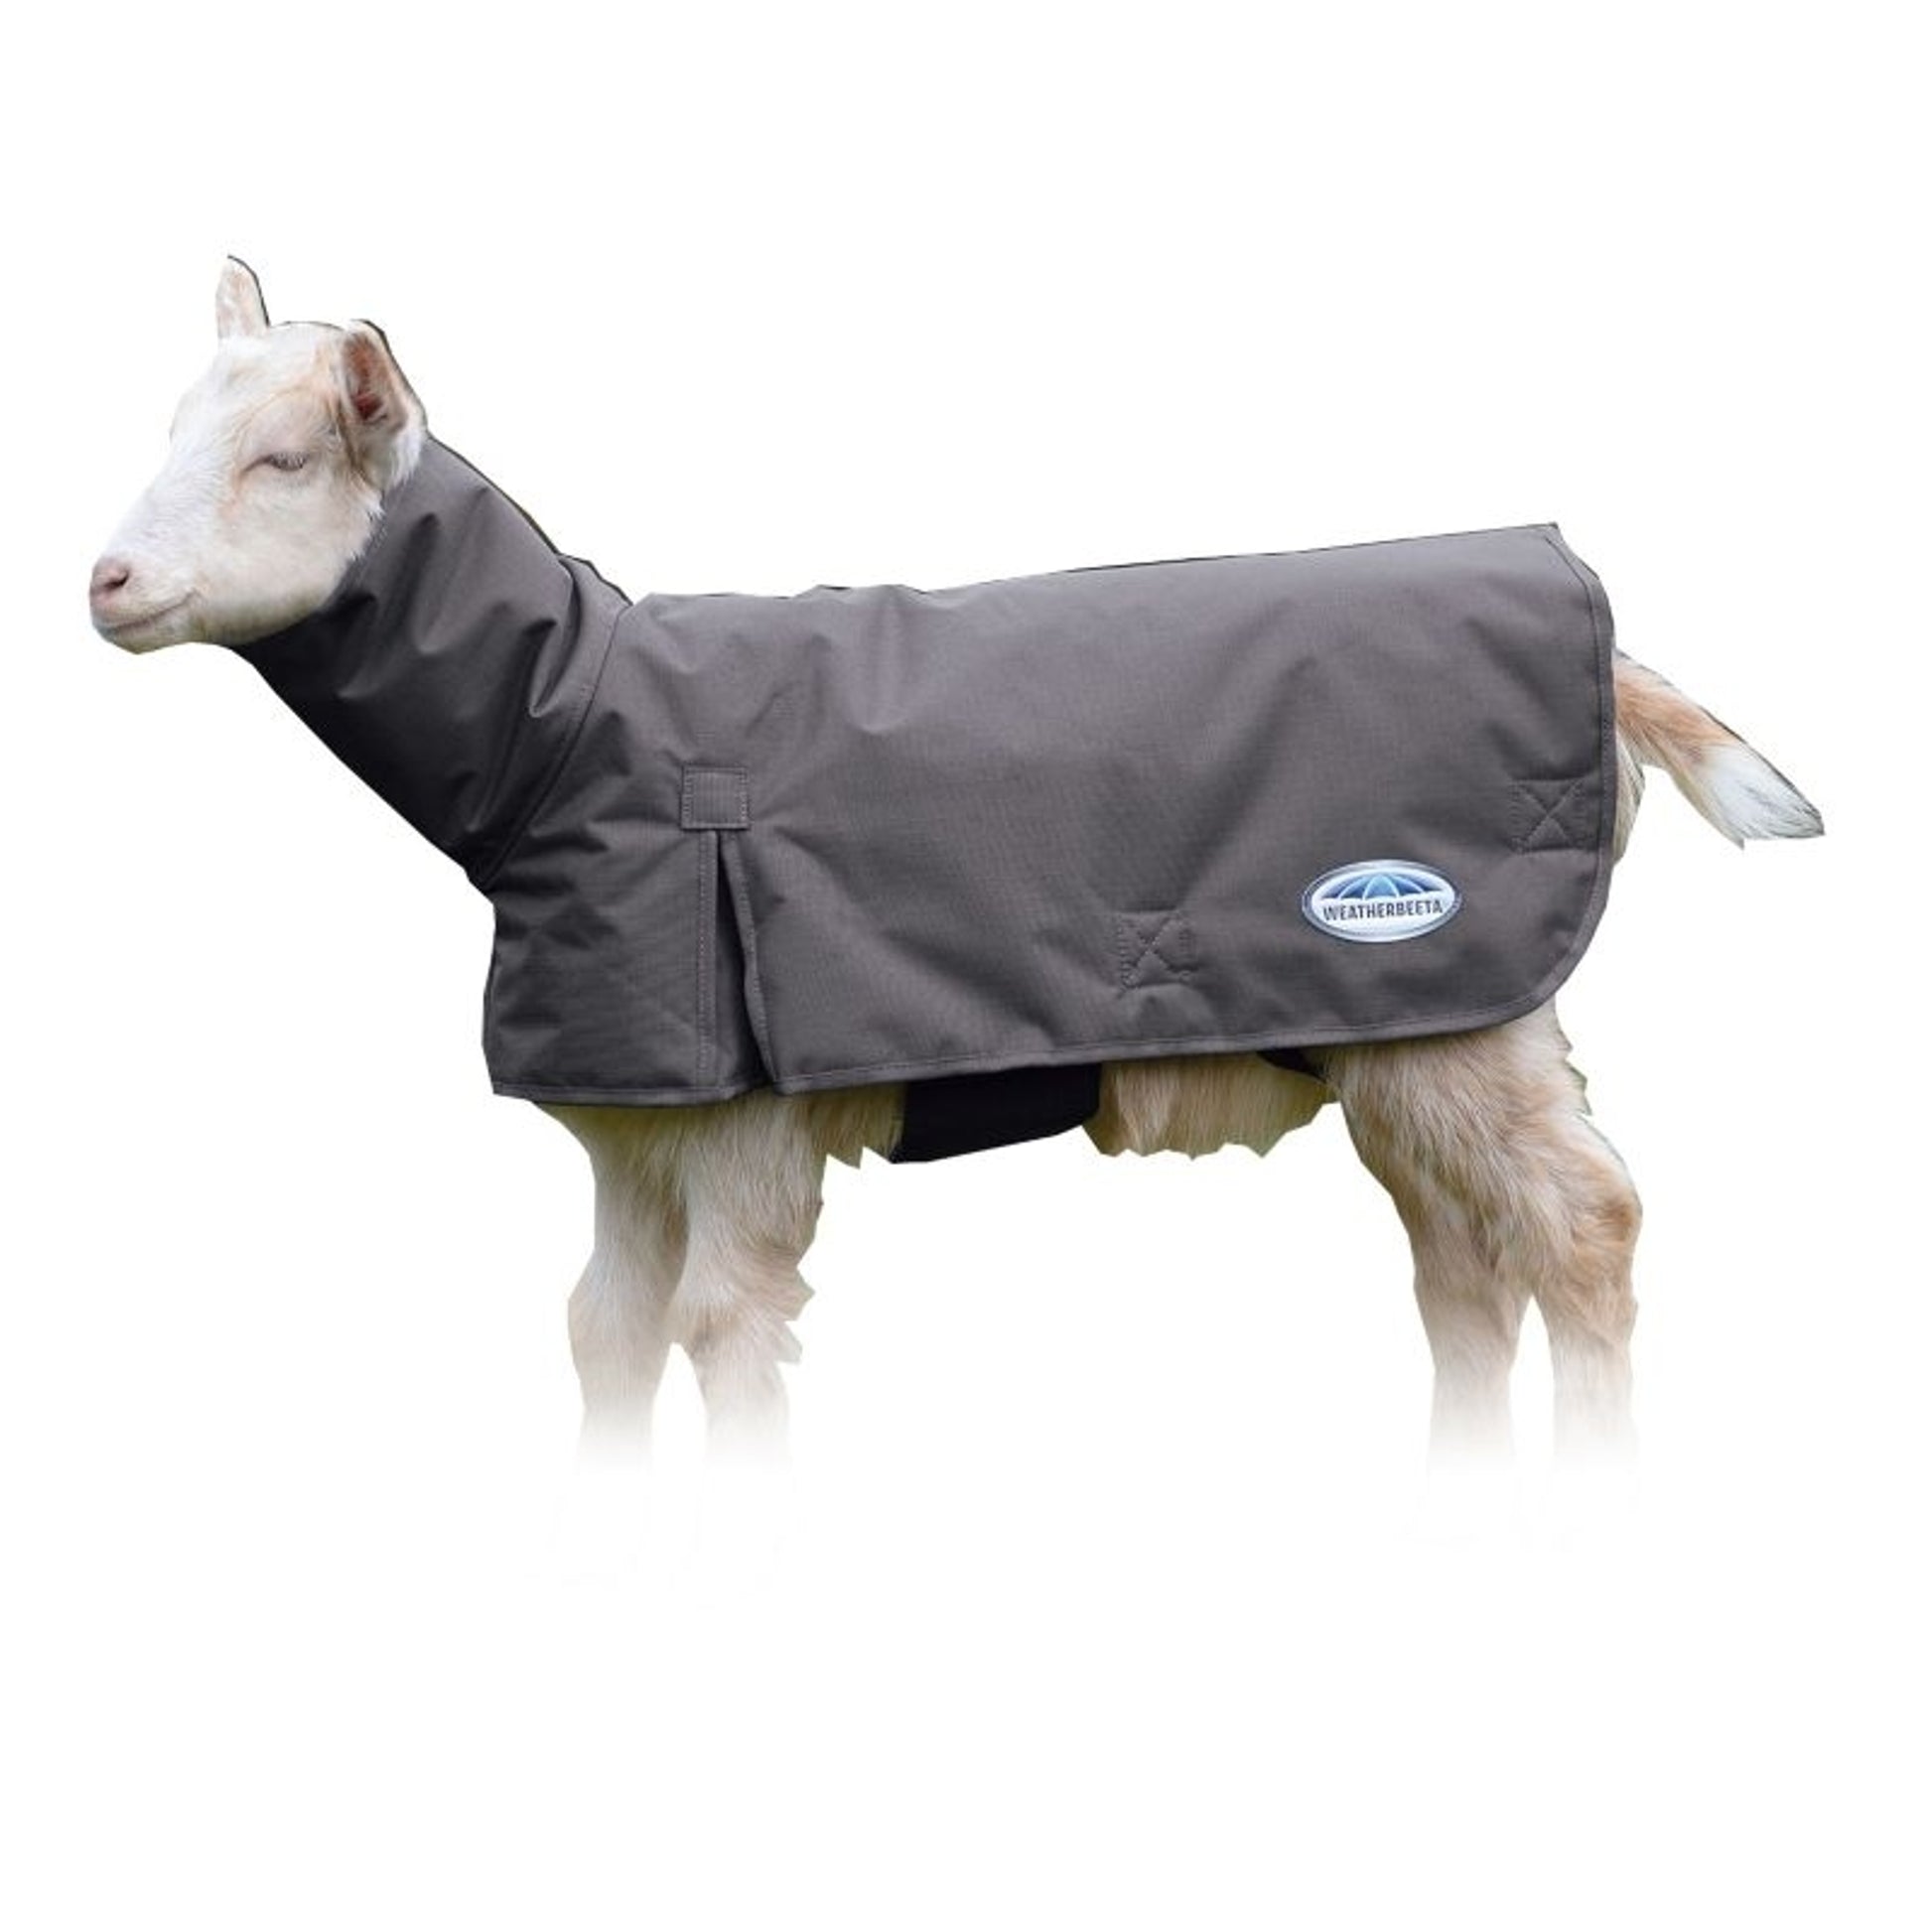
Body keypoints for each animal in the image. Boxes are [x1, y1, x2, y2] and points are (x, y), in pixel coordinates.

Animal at [89, 260, 1822, 1467]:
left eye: (283, 459)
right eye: (168, 433)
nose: (102, 578)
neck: (573, 727)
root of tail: (1597, 638)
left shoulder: (744, 1114)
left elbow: (720, 1329)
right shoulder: (630, 1116)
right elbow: (604, 1332)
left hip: (1469, 993)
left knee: (1582, 1225)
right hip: (1402, 1023)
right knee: (1459, 1257)